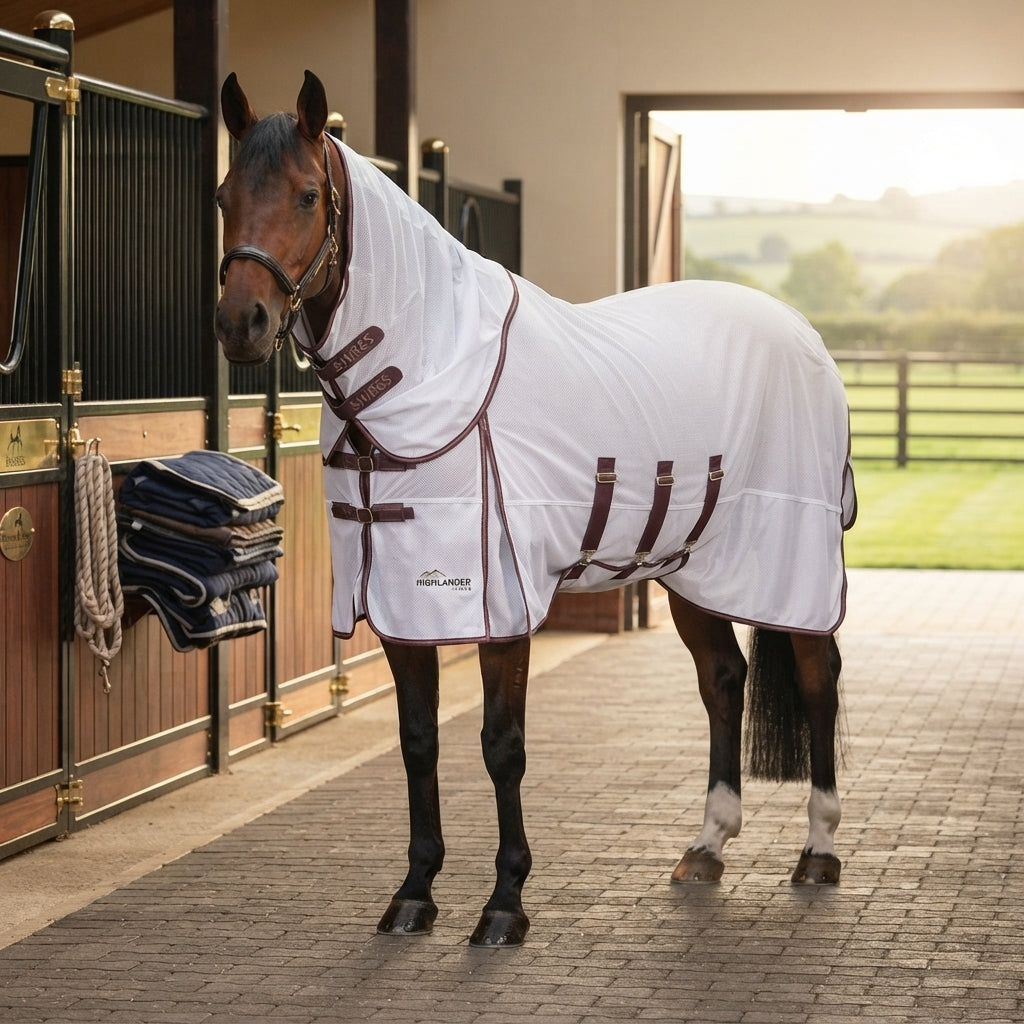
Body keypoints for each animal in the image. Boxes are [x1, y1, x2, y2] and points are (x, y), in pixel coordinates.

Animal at [214, 71, 857, 948]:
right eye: (222, 195)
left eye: (308, 195)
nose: (239, 324)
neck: (428, 370)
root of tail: (799, 330)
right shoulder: (402, 607)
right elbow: (418, 742)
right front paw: (413, 894)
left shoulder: (501, 602)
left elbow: (501, 745)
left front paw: (504, 904)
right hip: (693, 566)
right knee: (723, 679)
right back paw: (706, 846)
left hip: (793, 564)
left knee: (818, 678)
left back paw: (819, 850)